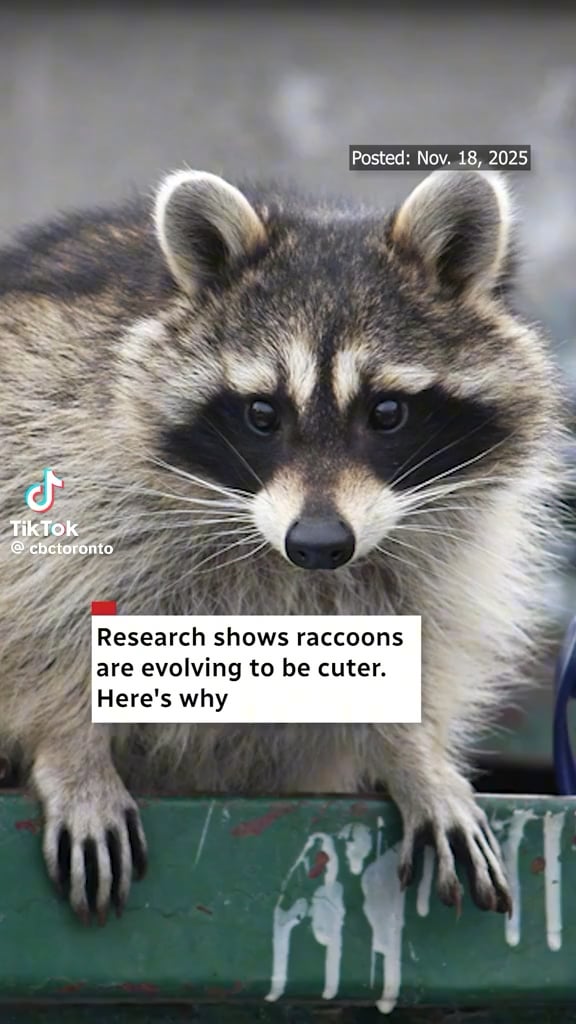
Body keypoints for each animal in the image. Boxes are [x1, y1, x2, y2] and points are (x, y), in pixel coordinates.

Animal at [0, 167, 564, 923]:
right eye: (262, 413)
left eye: (387, 412)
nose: (319, 543)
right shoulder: (54, 434)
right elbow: (45, 623)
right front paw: (71, 748)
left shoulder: (446, 547)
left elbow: (417, 639)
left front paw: (416, 754)